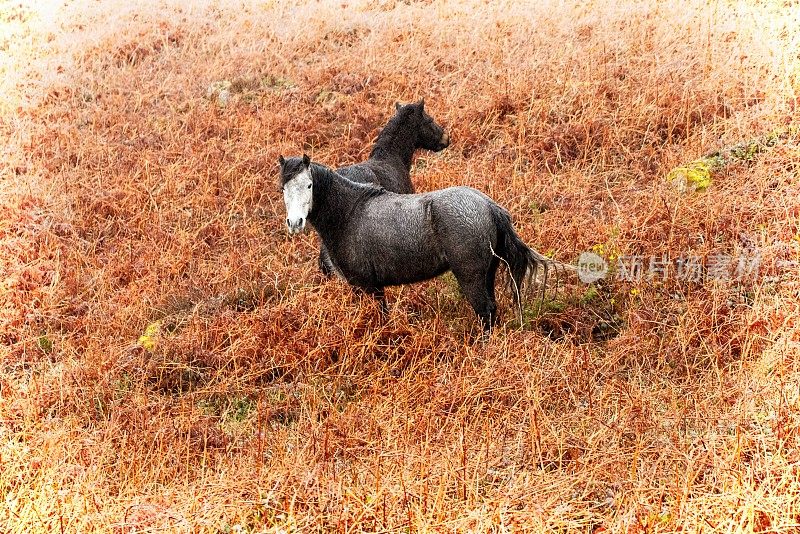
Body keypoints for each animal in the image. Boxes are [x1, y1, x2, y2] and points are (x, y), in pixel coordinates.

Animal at [282, 153, 568, 336]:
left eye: (309, 185)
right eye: (283, 188)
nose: (295, 222)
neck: (350, 213)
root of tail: (489, 206)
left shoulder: (367, 286)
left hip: (471, 277)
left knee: (484, 311)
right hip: (487, 274)